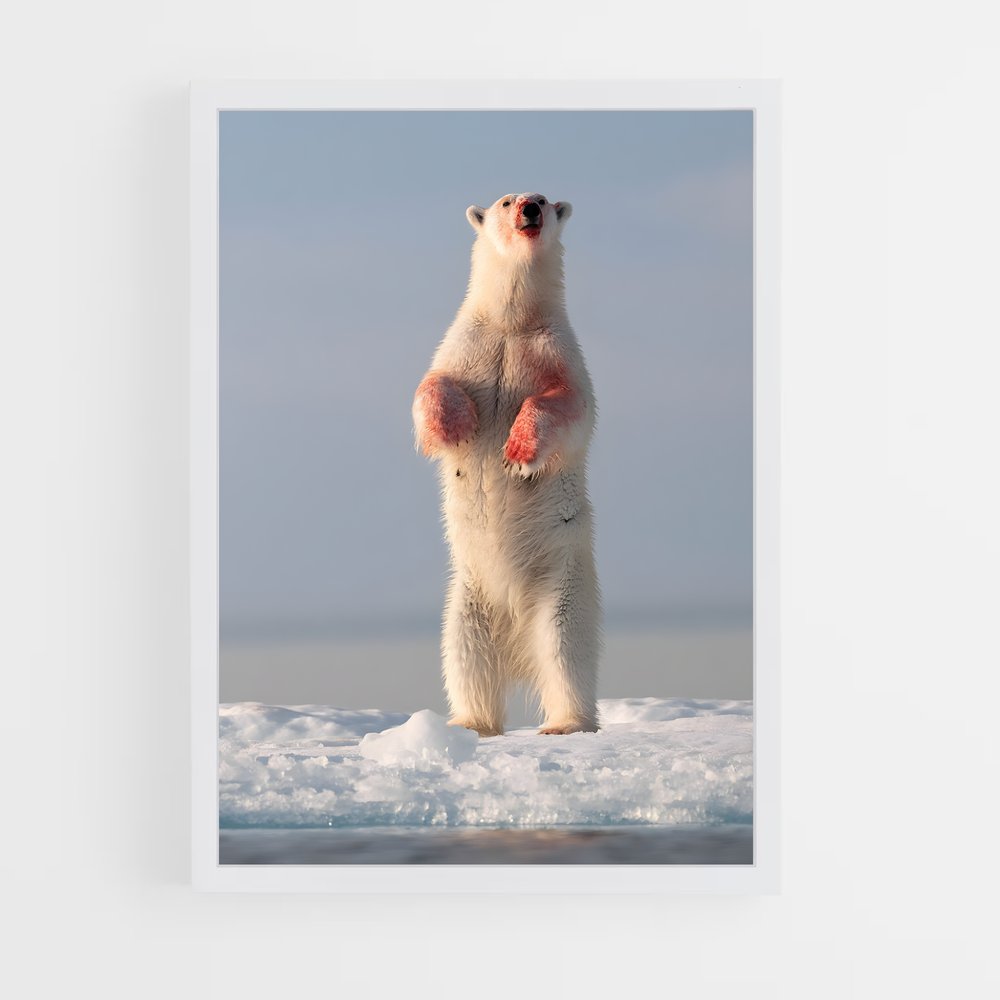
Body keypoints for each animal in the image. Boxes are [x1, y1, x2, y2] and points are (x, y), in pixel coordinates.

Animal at [412, 192, 600, 736]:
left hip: (562, 582)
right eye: (507, 200)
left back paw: (565, 723)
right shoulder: (467, 343)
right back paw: (470, 722)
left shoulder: (557, 351)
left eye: (545, 199)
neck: (513, 323)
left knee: (565, 649)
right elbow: (431, 383)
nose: (531, 210)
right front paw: (457, 427)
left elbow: (572, 406)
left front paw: (518, 454)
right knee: (465, 656)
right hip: (469, 598)